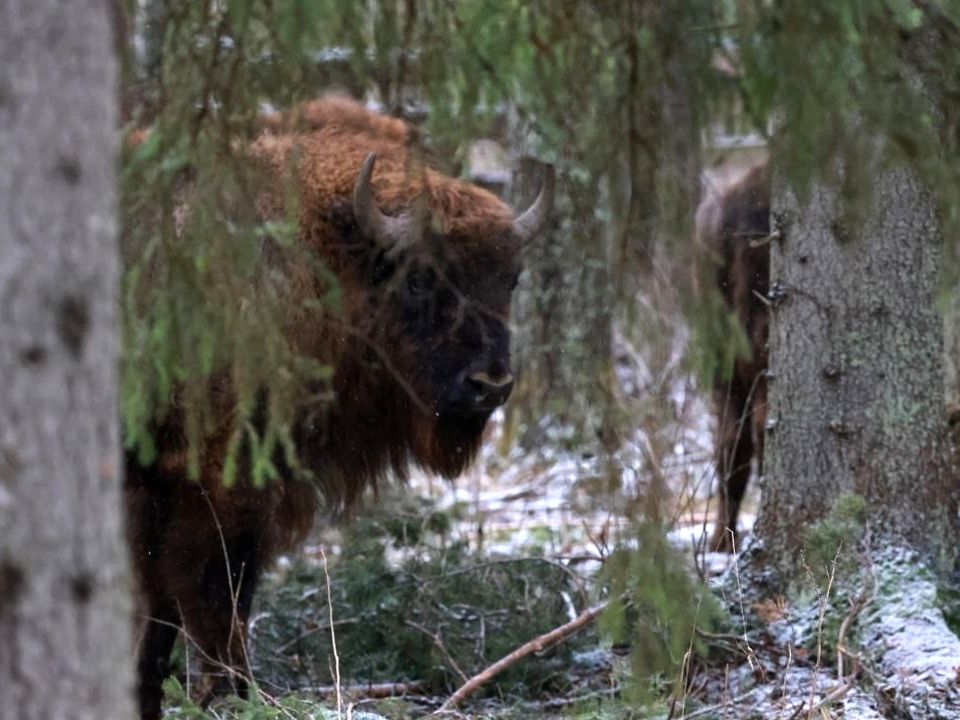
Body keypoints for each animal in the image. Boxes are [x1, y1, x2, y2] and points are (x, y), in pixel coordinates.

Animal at [125, 97, 556, 720]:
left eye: (511, 278)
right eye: (419, 278)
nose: (490, 384)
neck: (322, 261)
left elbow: (165, 611)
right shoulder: (221, 484)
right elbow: (214, 595)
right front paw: (232, 694)